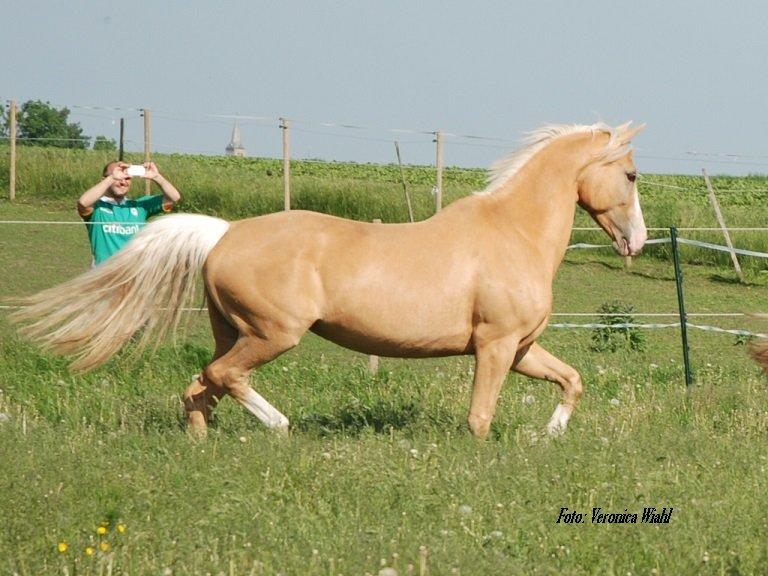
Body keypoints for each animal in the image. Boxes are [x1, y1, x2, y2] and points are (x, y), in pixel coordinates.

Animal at [12, 121, 648, 436]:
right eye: (633, 175)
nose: (637, 242)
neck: (512, 233)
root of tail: (224, 233)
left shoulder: (520, 348)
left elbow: (572, 382)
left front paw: (550, 436)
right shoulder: (493, 347)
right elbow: (479, 418)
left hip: (233, 331)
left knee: (199, 387)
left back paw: (204, 448)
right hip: (273, 334)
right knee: (222, 378)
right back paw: (279, 427)